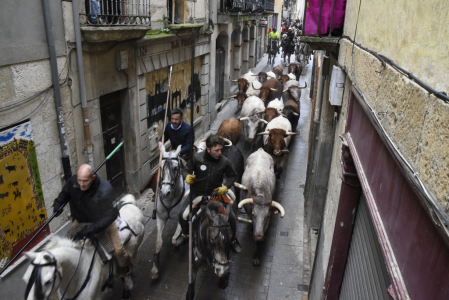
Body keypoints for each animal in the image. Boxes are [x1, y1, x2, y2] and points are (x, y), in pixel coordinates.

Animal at [150, 144, 186, 280]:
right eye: (161, 167)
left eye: (175, 168)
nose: (165, 192)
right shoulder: (160, 218)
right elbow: (158, 242)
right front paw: (155, 268)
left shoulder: (182, 219)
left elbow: (174, 239)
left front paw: (180, 241)